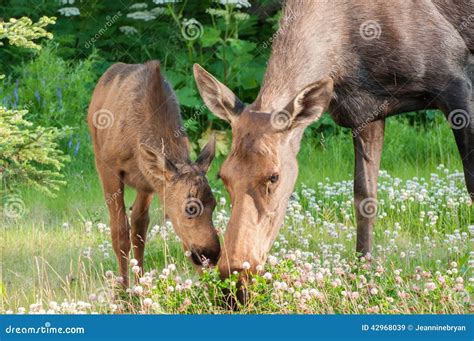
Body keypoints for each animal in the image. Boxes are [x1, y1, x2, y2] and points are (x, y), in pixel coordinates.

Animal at [89, 60, 220, 284]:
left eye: (215, 204)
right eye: (190, 208)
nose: (212, 253)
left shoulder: (151, 182)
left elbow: (140, 231)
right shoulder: (109, 167)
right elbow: (119, 232)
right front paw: (122, 292)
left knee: (138, 225)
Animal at [193, 0, 474, 282]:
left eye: (274, 176)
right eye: (222, 175)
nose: (234, 269)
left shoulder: (456, 79)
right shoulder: (366, 113)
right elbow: (364, 198)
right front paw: (362, 270)